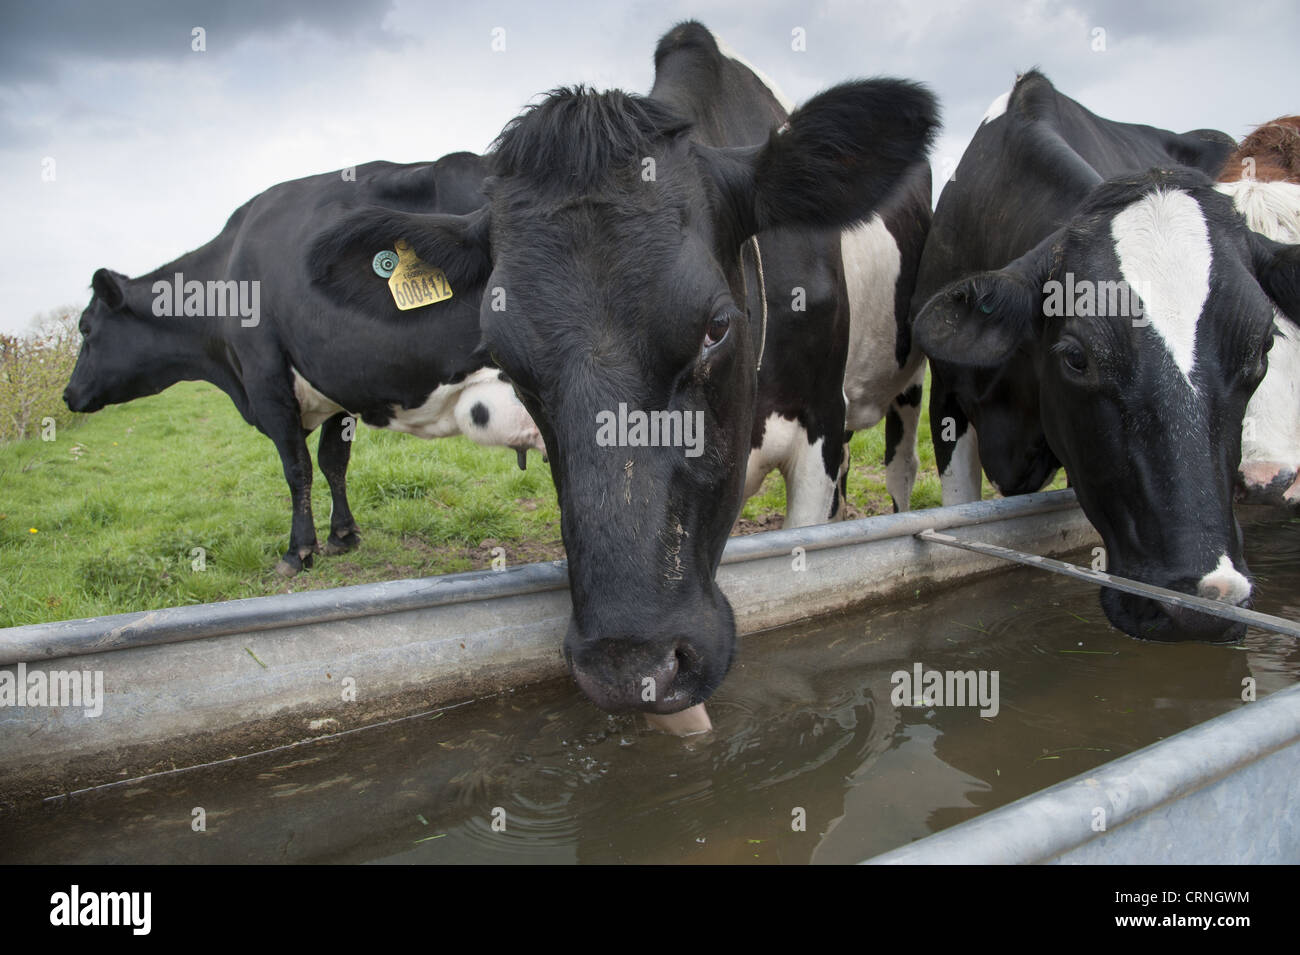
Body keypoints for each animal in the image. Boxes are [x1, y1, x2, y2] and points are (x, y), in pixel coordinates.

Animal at [63, 151, 545, 577]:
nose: (68, 394)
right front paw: (342, 536)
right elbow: (333, 461)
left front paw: (298, 552)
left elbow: (297, 468)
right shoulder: (338, 382)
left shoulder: (267, 379)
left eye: (85, 327)